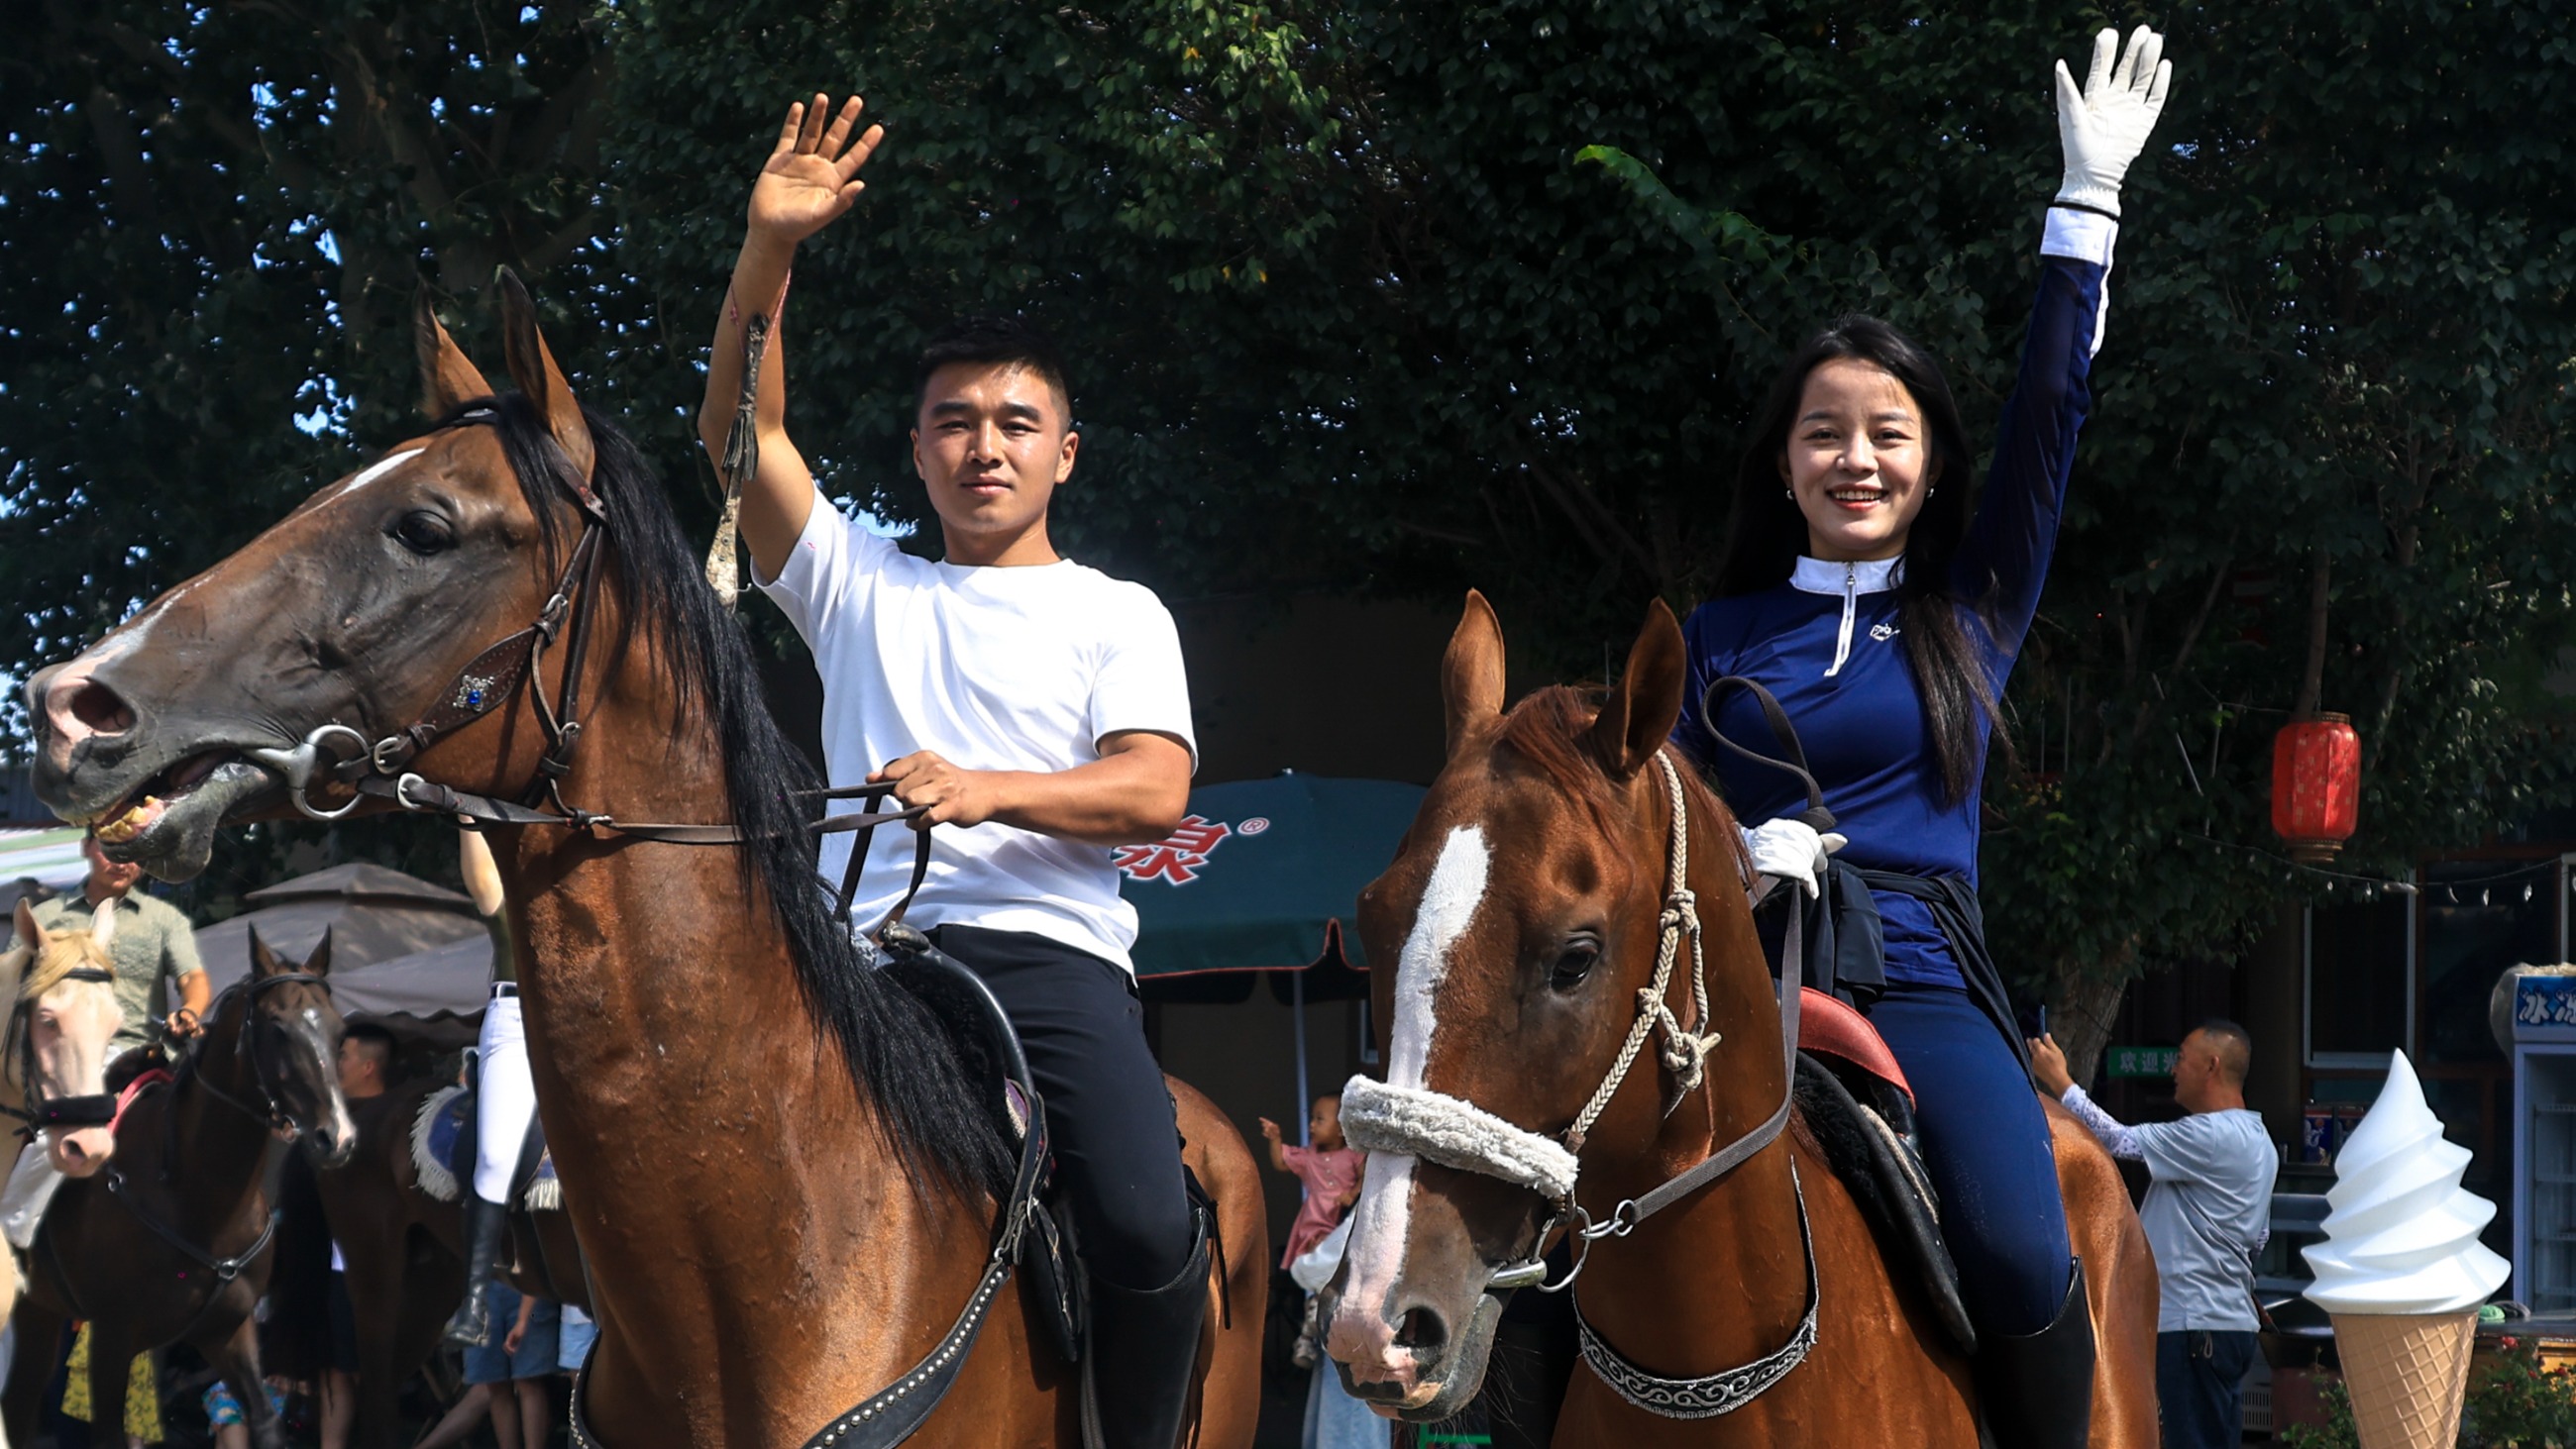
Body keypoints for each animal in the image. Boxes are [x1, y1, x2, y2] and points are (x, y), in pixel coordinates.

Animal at [5, 929, 354, 1449]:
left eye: (338, 1032)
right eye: (277, 1028)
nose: (338, 1137)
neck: (201, 1199)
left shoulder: (227, 1330)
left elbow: (264, 1420)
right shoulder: (110, 1340)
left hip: (41, 1313)